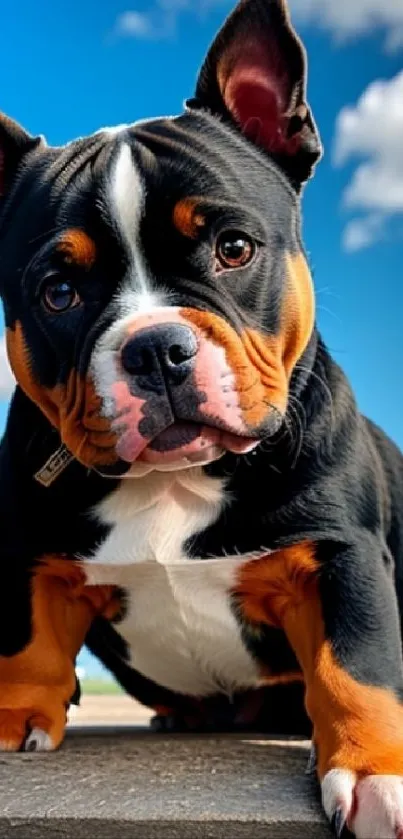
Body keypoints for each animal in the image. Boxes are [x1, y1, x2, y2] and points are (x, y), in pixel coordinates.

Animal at [0, 1, 403, 832]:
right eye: (59, 292)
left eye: (233, 248)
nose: (156, 348)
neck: (172, 480)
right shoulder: (29, 553)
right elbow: (26, 644)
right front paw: (15, 712)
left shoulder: (340, 553)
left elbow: (356, 665)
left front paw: (375, 770)